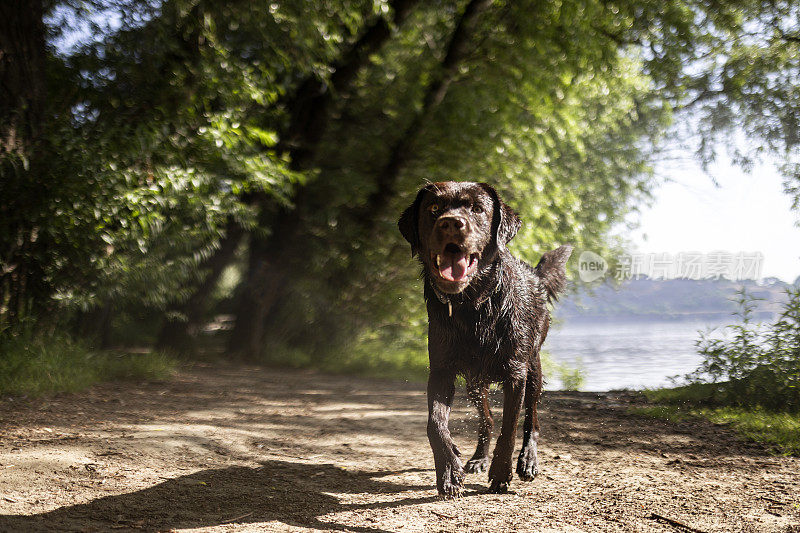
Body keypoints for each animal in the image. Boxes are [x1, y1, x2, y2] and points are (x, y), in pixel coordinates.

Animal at [396, 182, 572, 494]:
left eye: (477, 208)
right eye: (433, 208)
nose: (451, 223)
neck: (472, 306)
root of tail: (535, 275)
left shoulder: (516, 375)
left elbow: (510, 427)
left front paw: (501, 473)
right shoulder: (441, 371)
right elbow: (435, 424)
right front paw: (449, 471)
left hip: (533, 369)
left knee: (532, 418)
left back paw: (528, 460)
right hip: (475, 383)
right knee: (487, 420)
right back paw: (478, 458)